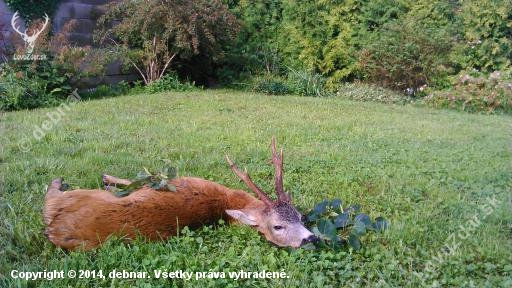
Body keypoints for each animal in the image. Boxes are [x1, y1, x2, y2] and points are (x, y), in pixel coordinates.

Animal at [44, 137, 318, 250]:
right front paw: (109, 179)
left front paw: (108, 179)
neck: (227, 200)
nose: (311, 238)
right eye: (278, 226)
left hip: (74, 195)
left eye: (300, 218)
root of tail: (53, 226)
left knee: (50, 192)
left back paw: (61, 180)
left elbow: (140, 180)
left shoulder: (174, 181)